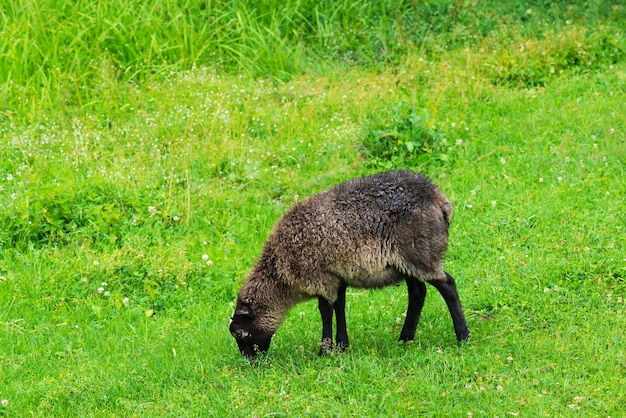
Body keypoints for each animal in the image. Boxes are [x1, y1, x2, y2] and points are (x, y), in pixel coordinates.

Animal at [229, 170, 468, 360]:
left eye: (239, 333)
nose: (250, 361)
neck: (280, 271)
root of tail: (440, 200)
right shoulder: (337, 276)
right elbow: (340, 307)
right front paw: (342, 345)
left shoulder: (320, 277)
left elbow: (325, 311)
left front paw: (324, 350)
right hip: (405, 263)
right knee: (418, 292)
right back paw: (405, 339)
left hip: (421, 253)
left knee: (448, 285)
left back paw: (463, 336)